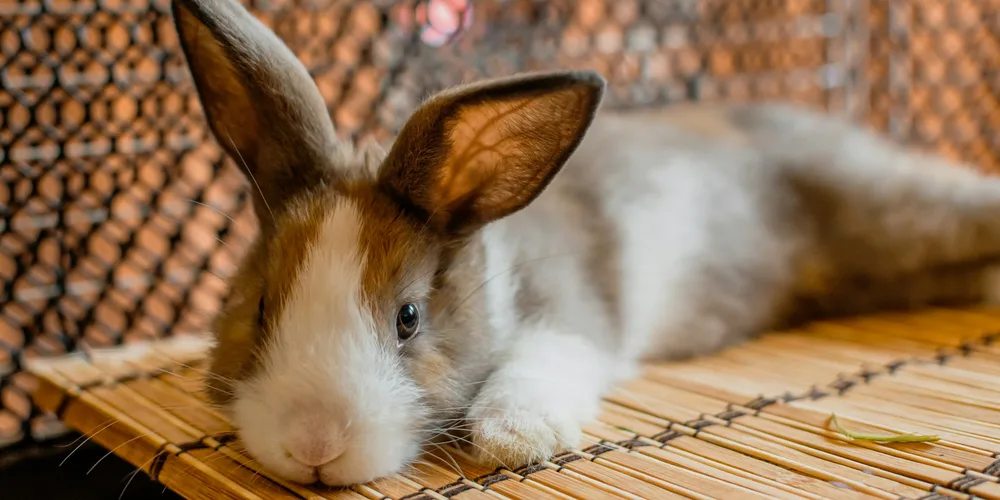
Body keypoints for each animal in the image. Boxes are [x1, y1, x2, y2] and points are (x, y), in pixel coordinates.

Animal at [172, 0, 1000, 487]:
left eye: (408, 319)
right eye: (261, 308)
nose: (314, 445)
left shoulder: (572, 310)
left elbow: (546, 359)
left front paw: (515, 436)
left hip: (897, 206)